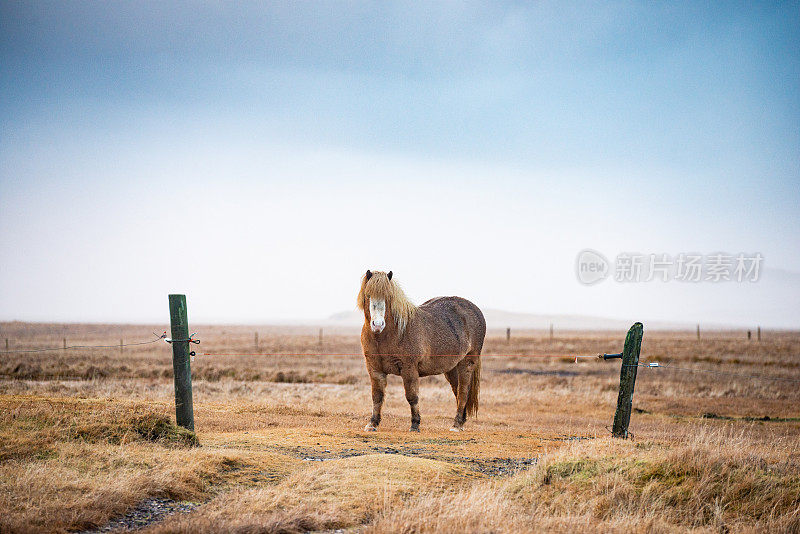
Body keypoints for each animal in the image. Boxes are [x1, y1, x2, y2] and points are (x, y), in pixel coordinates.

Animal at [358, 270, 488, 434]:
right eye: (368, 295)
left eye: (388, 297)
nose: (377, 324)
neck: (386, 336)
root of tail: (476, 310)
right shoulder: (374, 369)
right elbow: (377, 396)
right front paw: (372, 423)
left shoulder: (409, 369)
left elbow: (412, 397)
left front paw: (415, 424)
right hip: (452, 369)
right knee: (457, 391)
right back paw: (461, 421)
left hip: (467, 363)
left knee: (463, 391)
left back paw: (456, 425)